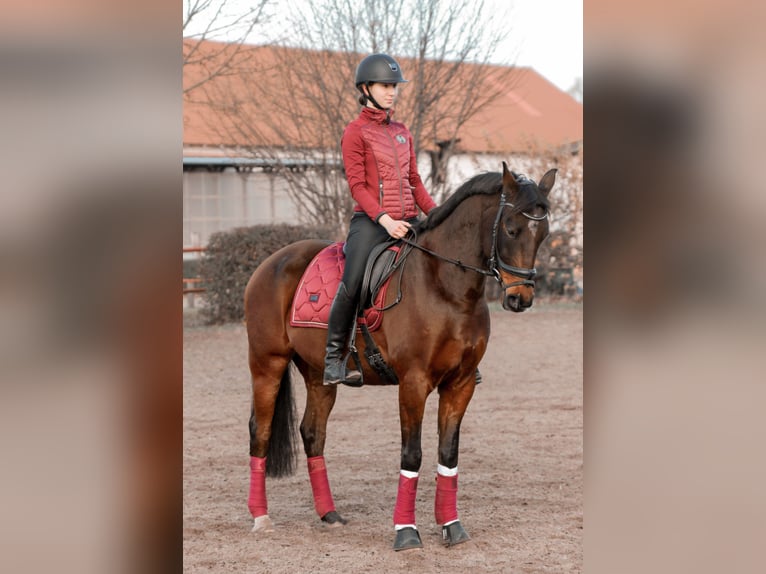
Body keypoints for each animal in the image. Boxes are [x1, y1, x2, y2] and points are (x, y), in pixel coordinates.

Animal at [244, 162, 556, 550]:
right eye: (512, 229)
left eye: (543, 234)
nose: (520, 299)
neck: (446, 287)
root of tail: (272, 261)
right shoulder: (413, 383)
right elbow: (413, 454)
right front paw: (406, 531)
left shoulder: (461, 384)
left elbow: (448, 454)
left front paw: (451, 526)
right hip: (267, 363)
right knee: (260, 431)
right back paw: (260, 517)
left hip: (319, 375)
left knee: (313, 432)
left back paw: (330, 515)